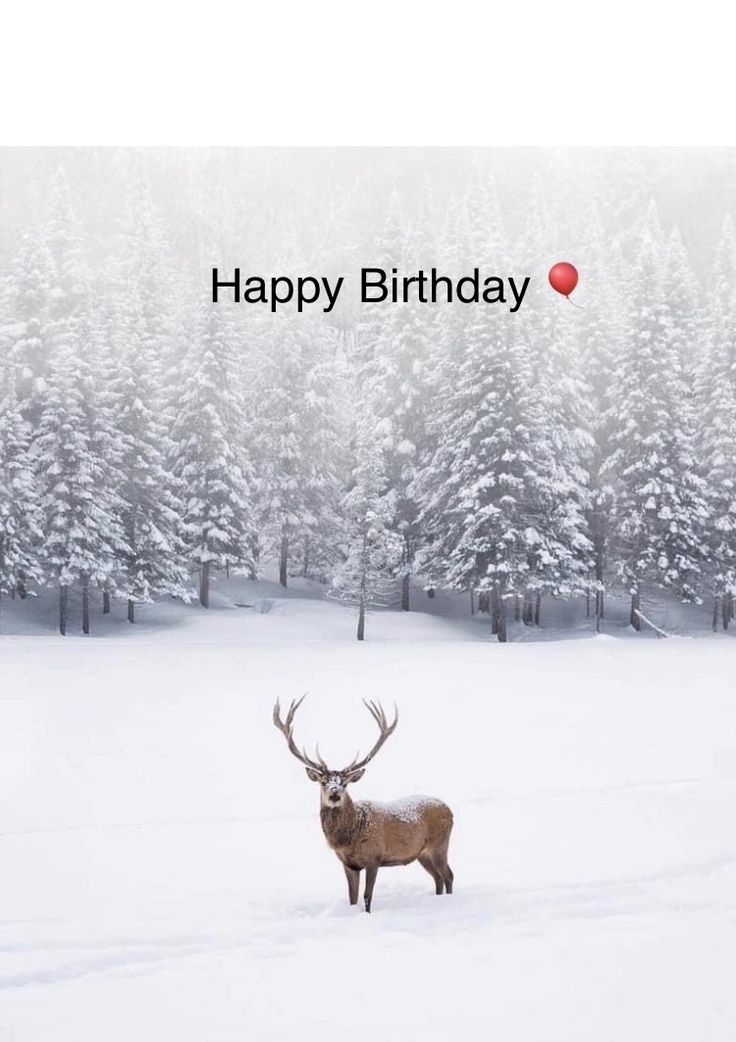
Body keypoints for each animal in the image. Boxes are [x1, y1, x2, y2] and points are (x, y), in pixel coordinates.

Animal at [271, 700, 452, 912]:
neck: (348, 838)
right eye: (323, 782)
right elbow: (352, 897)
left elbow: (367, 896)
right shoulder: (349, 864)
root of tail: (449, 810)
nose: (334, 794)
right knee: (438, 877)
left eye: (344, 783)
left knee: (448, 875)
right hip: (422, 853)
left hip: (440, 844)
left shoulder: (374, 857)